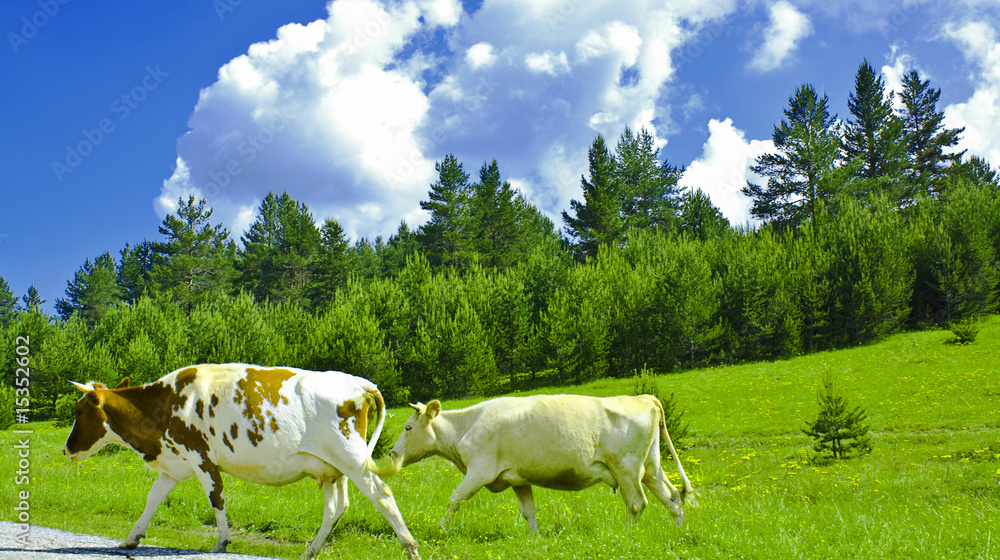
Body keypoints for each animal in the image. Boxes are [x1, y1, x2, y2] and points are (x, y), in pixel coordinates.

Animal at [62, 364, 420, 560]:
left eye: (79, 411)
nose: (67, 449)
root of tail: (360, 383)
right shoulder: (175, 463)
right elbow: (153, 498)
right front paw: (131, 538)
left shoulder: (201, 456)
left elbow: (216, 498)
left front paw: (221, 541)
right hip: (332, 469)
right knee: (336, 508)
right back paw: (310, 552)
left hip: (352, 457)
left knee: (382, 496)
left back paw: (411, 548)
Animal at [376, 394, 696, 533]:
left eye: (407, 427)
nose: (392, 453)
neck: (466, 427)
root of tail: (643, 397)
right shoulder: (518, 478)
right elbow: (528, 510)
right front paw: (534, 537)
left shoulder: (480, 471)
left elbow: (454, 500)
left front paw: (440, 529)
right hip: (651, 468)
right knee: (672, 497)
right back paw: (681, 532)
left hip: (627, 469)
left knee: (636, 504)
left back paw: (625, 534)